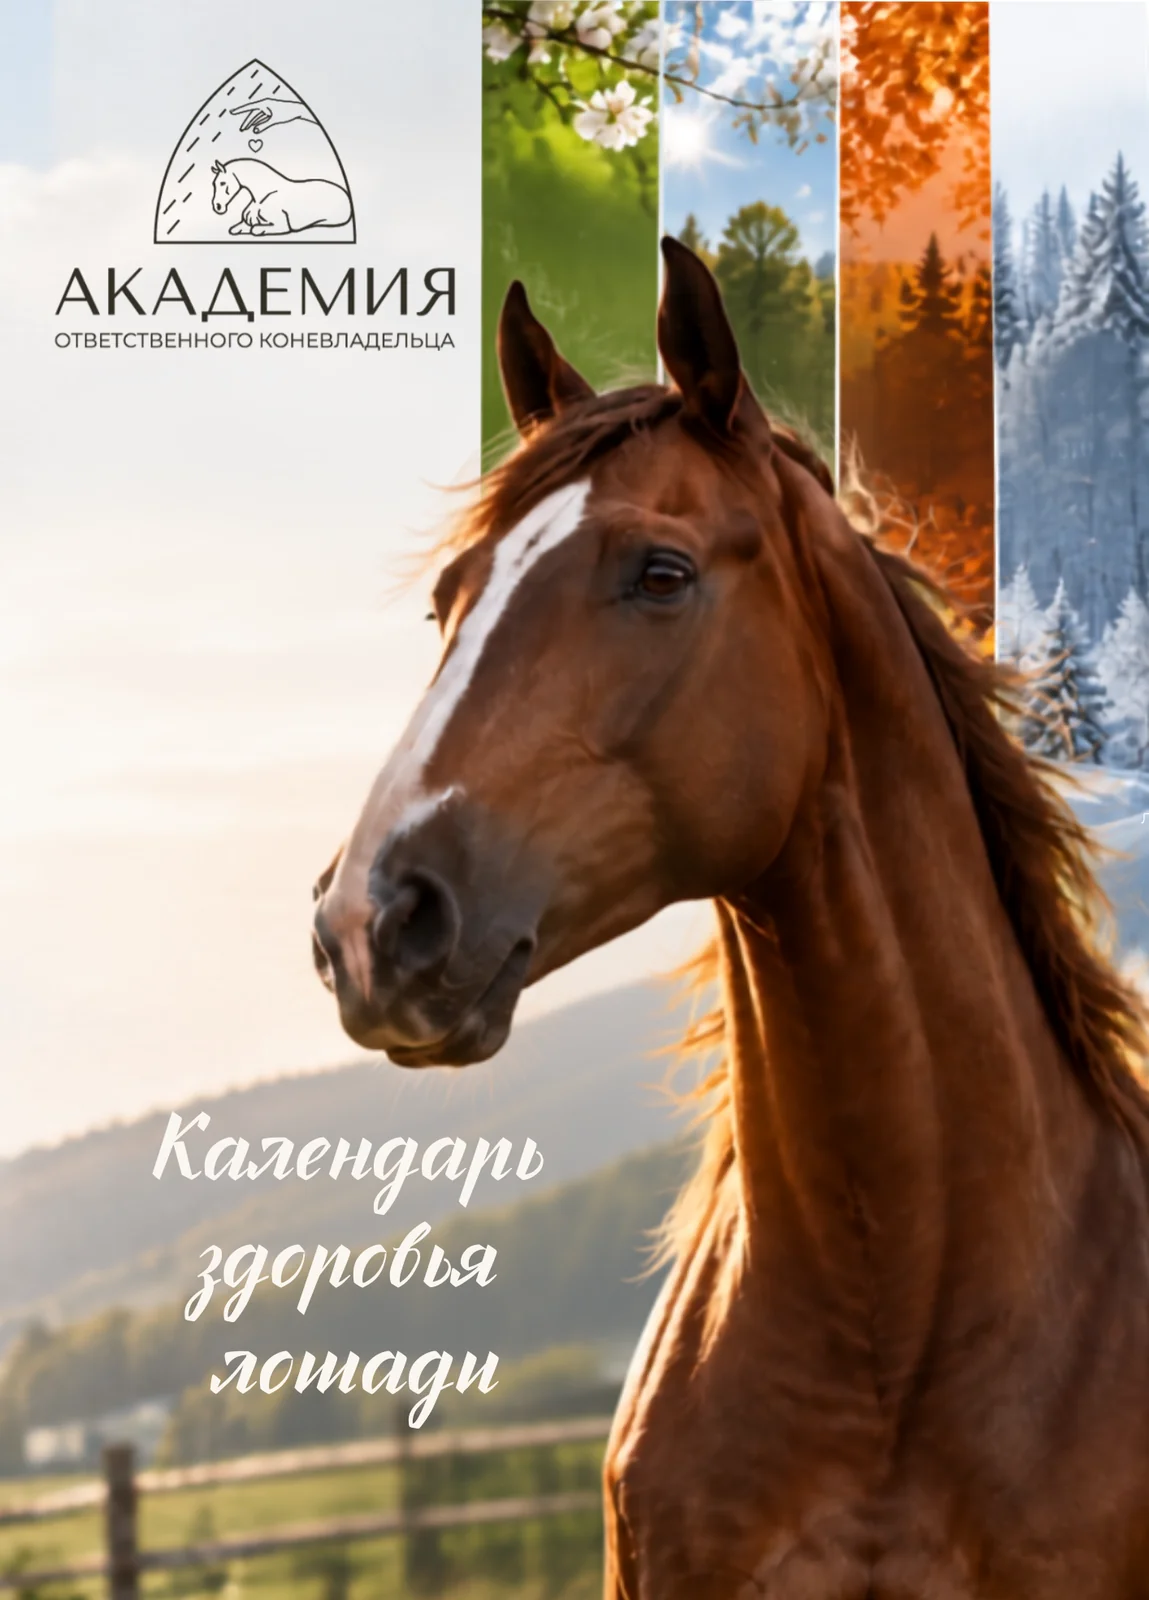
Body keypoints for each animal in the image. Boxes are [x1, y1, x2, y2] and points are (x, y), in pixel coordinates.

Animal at [209, 158, 350, 237]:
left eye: (222, 183)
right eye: (213, 184)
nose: (218, 207)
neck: (260, 197)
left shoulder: (282, 226)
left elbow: (255, 230)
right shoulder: (245, 222)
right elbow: (236, 229)